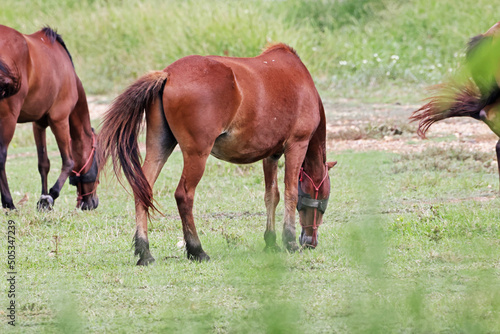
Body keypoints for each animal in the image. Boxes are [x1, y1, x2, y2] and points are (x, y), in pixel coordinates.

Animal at [0, 24, 98, 210]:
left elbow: (43, 163)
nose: (93, 203)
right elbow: (68, 162)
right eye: (98, 158)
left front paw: (43, 197)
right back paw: (9, 204)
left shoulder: (38, 124)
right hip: (8, 118)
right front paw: (50, 196)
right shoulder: (59, 119)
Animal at [98, 43, 336, 264]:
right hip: (197, 154)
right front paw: (289, 241)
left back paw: (145, 252)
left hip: (160, 146)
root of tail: (168, 74)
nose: (310, 242)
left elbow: (272, 196)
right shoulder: (296, 145)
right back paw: (196, 249)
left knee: (143, 189)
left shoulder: (271, 154)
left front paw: (271, 241)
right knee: (184, 195)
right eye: (323, 202)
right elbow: (290, 193)